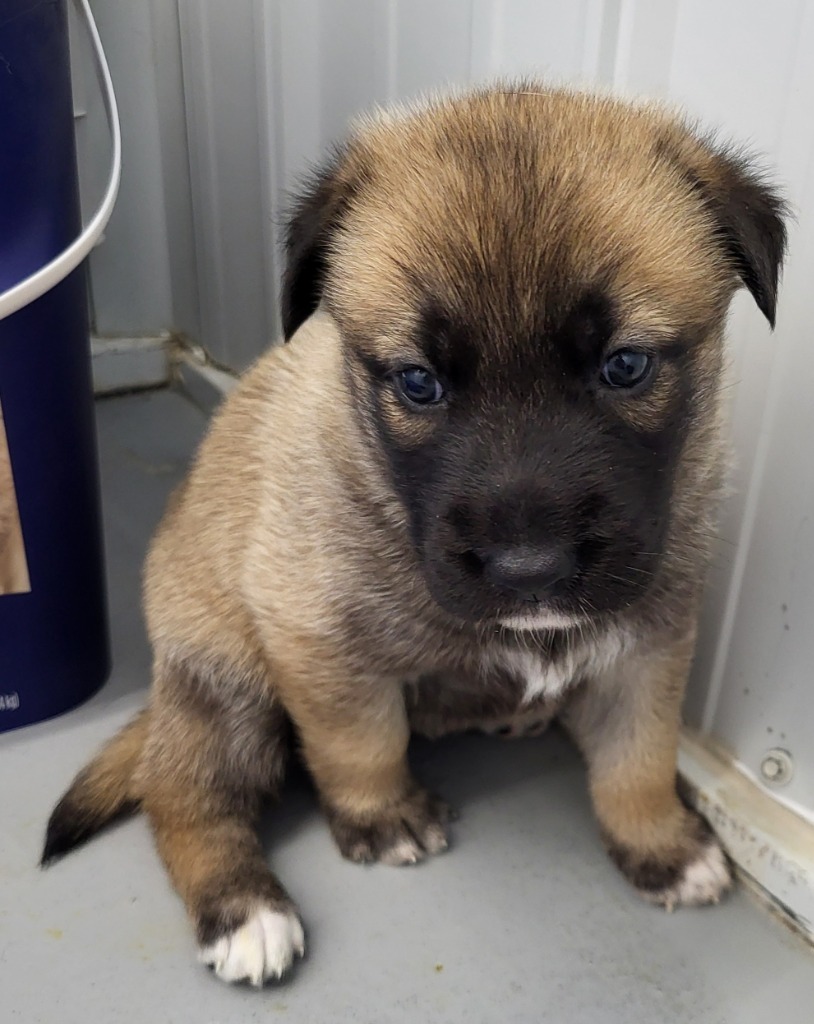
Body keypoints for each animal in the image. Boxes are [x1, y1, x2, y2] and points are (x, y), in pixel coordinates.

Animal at [41, 86, 786, 983]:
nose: (530, 569)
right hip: (228, 688)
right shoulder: (316, 640)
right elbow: (358, 739)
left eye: (627, 366)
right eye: (418, 383)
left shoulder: (648, 646)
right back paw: (244, 909)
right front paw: (382, 815)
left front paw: (662, 846)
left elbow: (637, 760)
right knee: (186, 795)